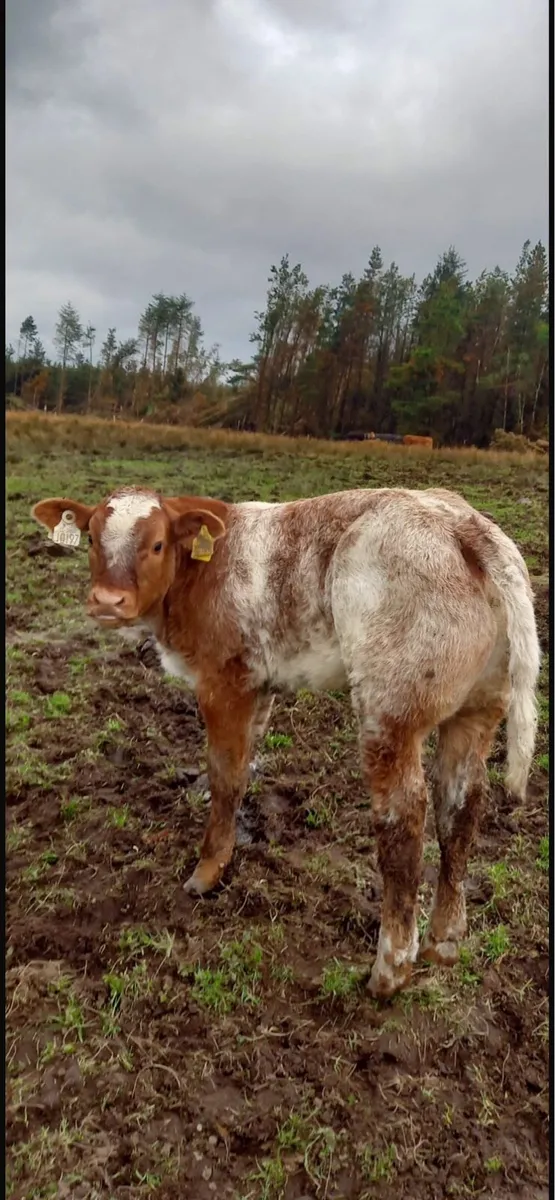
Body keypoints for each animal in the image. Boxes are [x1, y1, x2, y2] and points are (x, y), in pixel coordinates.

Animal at [32, 485, 540, 1000]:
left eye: (156, 545)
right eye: (91, 538)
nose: (107, 601)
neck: (199, 572)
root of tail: (461, 523)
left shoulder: (224, 683)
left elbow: (224, 774)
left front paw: (206, 872)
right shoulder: (259, 688)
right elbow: (242, 770)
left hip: (390, 710)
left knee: (403, 819)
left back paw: (390, 969)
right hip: (479, 706)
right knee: (461, 803)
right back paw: (444, 940)